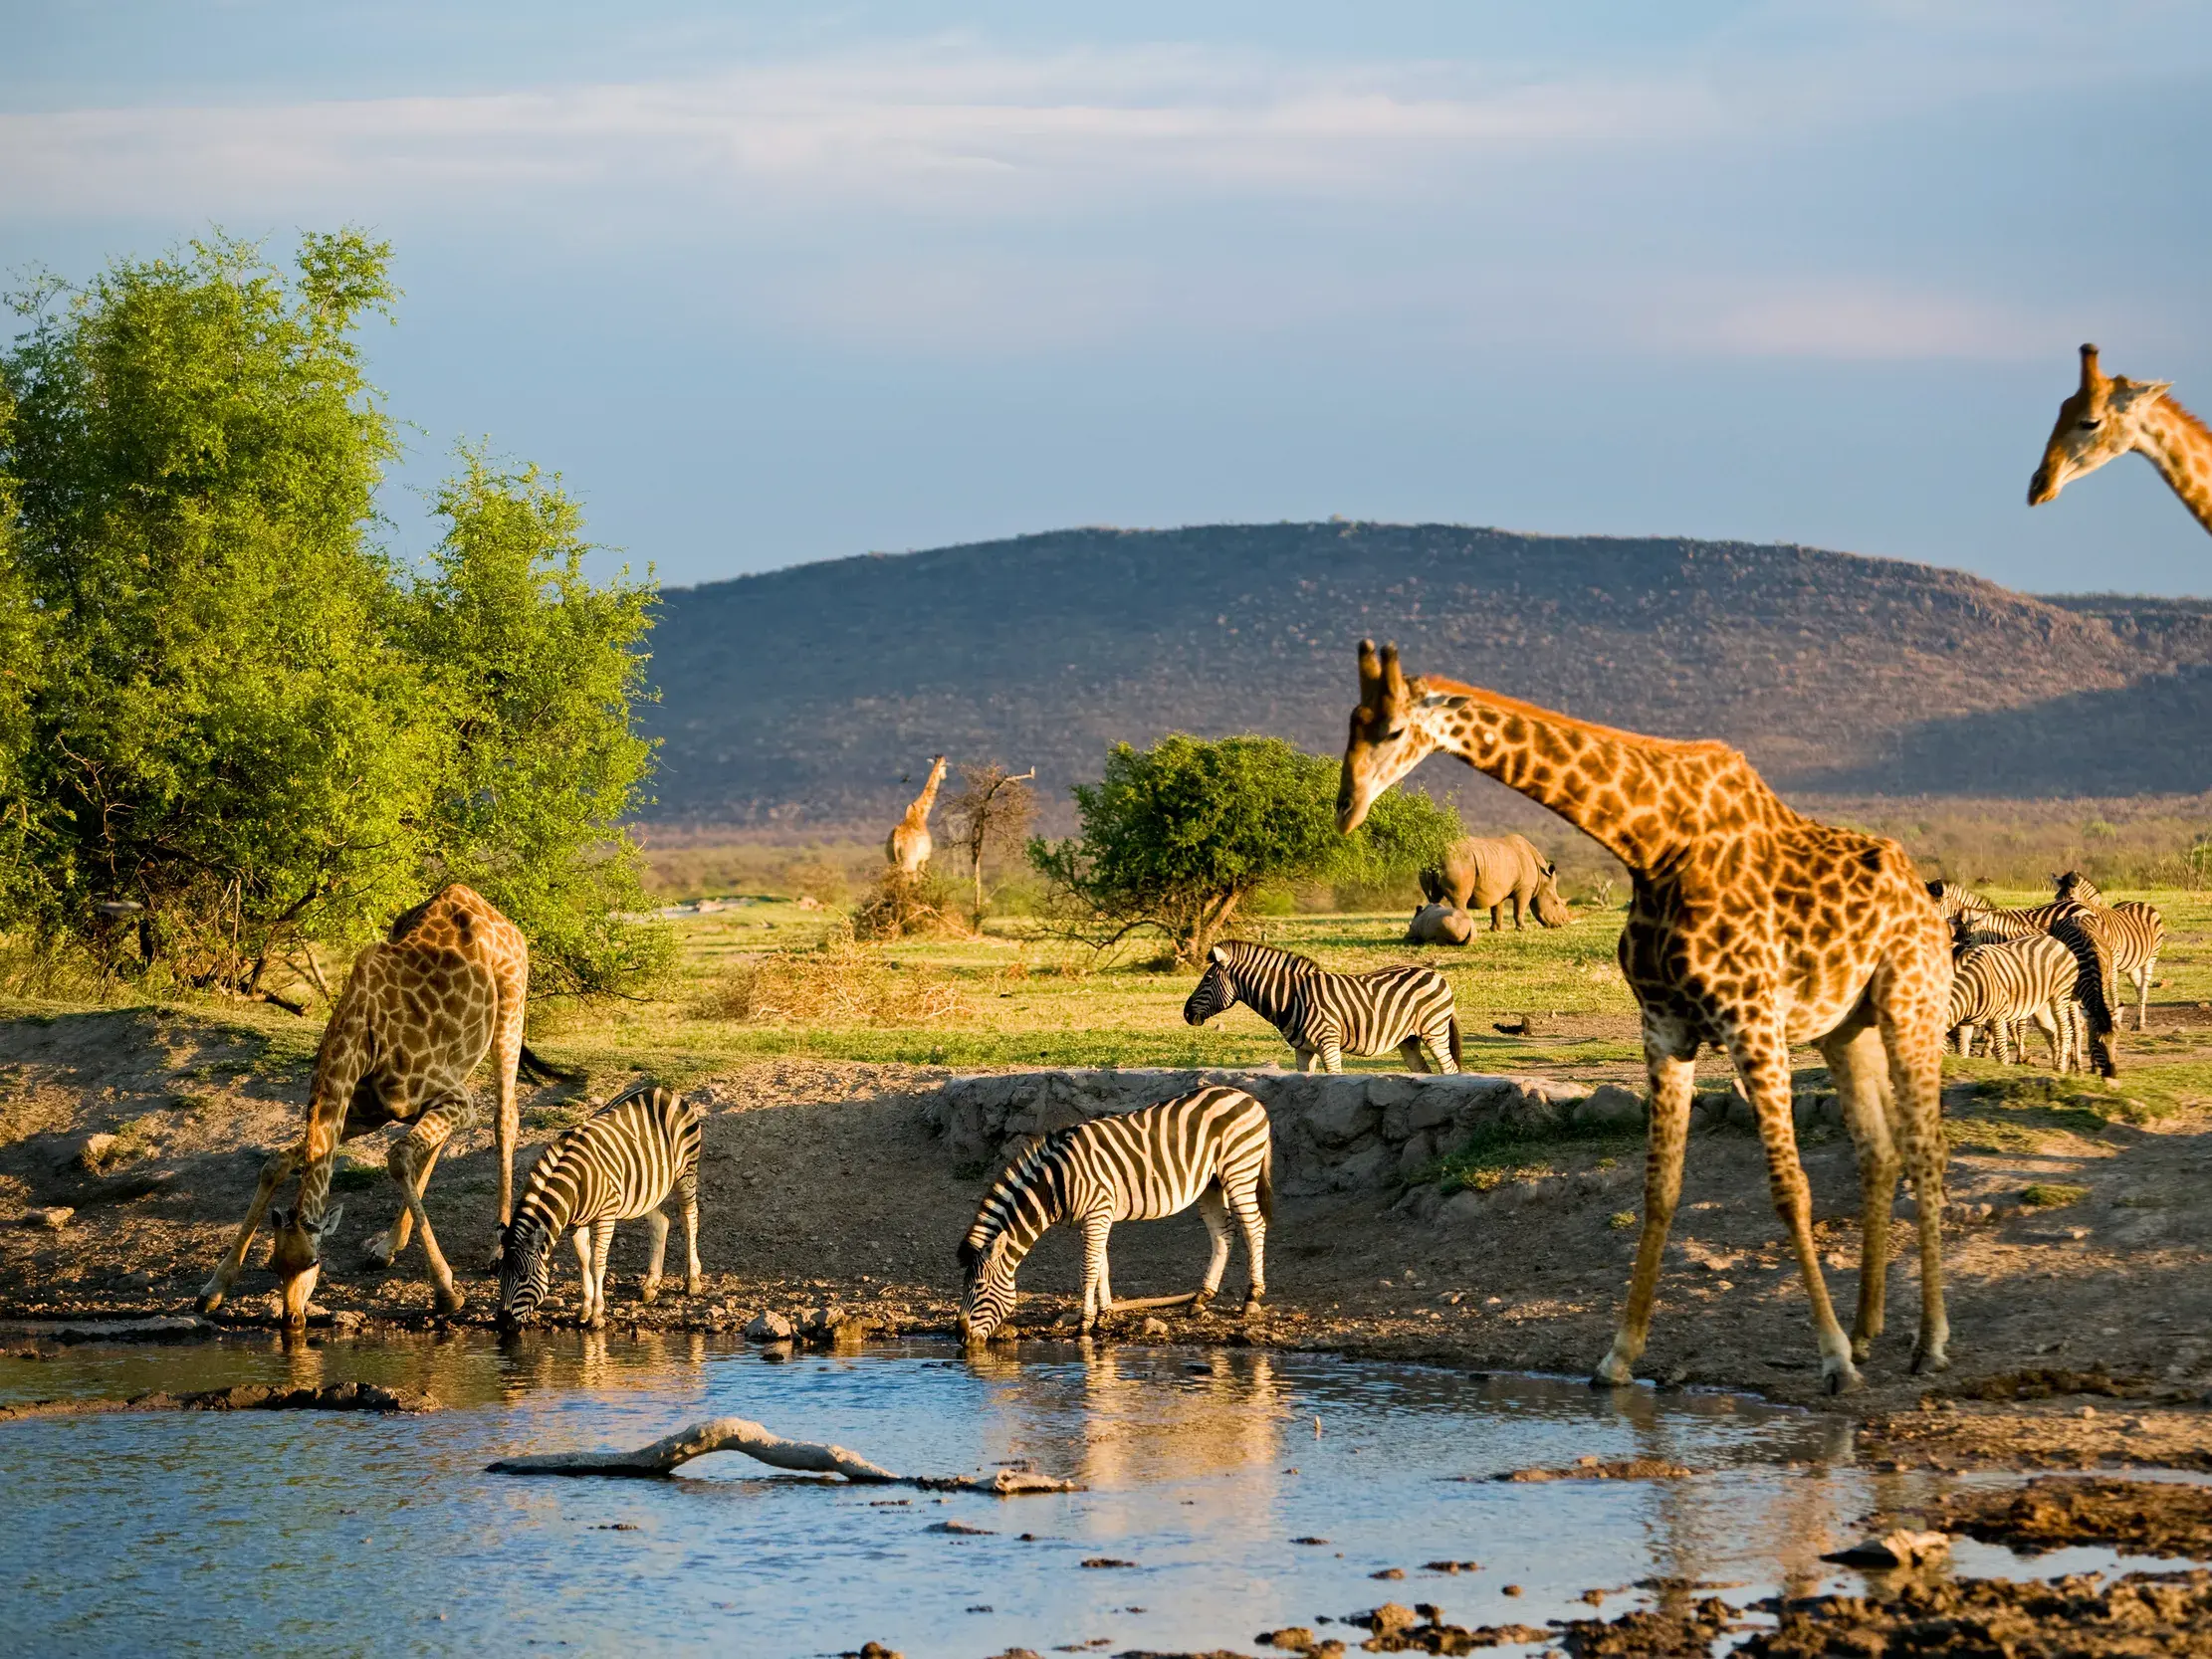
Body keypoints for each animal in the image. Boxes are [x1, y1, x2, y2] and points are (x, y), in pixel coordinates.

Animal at [497, 1081, 704, 1331]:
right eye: (499, 1276)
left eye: (524, 1277)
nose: (503, 1323)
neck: (574, 1185)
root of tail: (661, 1090)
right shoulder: (576, 1223)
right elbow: (583, 1262)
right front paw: (584, 1311)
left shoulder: (605, 1217)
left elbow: (597, 1263)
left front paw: (597, 1313)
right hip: (648, 1189)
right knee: (660, 1223)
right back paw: (651, 1284)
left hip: (686, 1172)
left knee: (689, 1219)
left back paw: (692, 1281)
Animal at [956, 1084, 1272, 1343]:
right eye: (965, 1286)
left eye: (979, 1287)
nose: (961, 1335)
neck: (1056, 1182)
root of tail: (1248, 1097)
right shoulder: (1094, 1218)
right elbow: (1101, 1266)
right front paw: (1103, 1315)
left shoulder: (1098, 1211)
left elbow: (1088, 1269)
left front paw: (1084, 1324)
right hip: (1211, 1182)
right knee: (1223, 1233)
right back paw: (1201, 1297)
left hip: (1239, 1169)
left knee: (1253, 1226)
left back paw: (1251, 1297)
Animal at [1182, 939, 1461, 1073]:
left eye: (1207, 979)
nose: (1186, 1013)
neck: (1291, 996)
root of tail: (1436, 974)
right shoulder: (1304, 1050)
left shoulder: (1328, 1043)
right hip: (1409, 1039)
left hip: (1434, 1031)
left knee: (1450, 1068)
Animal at [1946, 931, 2085, 1071]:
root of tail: (2058, 942)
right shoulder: (1965, 1024)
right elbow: (1962, 1052)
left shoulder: (1998, 1018)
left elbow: (2002, 1056)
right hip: (2042, 1006)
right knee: (2052, 1031)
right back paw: (2056, 1065)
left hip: (2060, 996)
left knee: (2066, 1030)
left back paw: (2061, 1067)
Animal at [2051, 871, 2166, 1032]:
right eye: (2056, 897)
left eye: (2071, 898)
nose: (2058, 921)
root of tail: (2143, 903)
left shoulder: (2113, 958)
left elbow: (2111, 986)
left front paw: (2115, 1018)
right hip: (2132, 966)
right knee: (2138, 988)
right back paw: (2137, 1021)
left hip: (2151, 958)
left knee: (2143, 989)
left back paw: (2140, 1024)